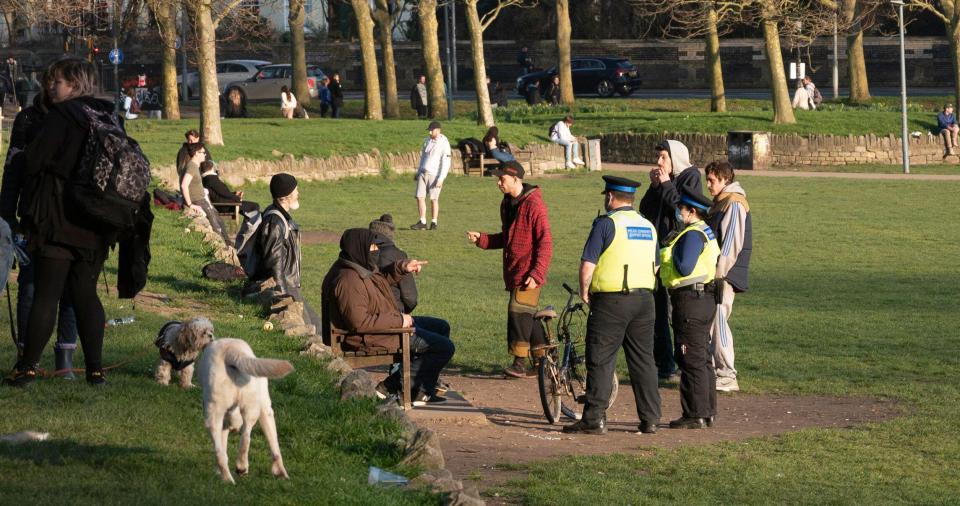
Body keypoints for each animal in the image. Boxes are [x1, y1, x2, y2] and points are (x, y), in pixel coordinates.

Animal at [197, 338, 294, 484]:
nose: (232, 428)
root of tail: (231, 351)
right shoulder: (266, 410)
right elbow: (275, 446)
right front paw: (281, 472)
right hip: (250, 407)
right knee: (245, 436)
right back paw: (238, 469)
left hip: (215, 411)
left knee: (224, 448)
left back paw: (229, 477)